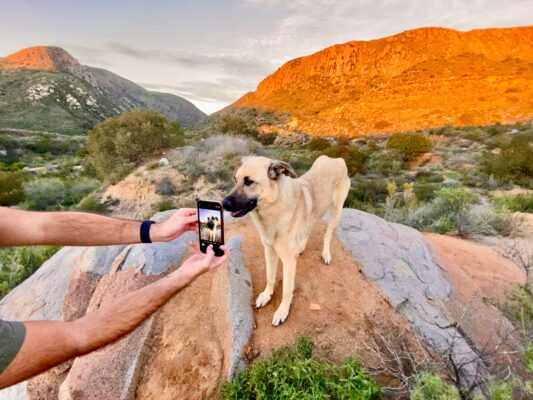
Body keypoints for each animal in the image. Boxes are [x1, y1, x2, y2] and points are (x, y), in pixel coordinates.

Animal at [220, 154, 350, 324]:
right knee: (309, 226)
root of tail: (336, 158)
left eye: (248, 181)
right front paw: (266, 295)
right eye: (235, 179)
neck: (275, 208)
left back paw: (326, 254)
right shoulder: (269, 250)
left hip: (336, 211)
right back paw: (301, 247)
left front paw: (282, 311)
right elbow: (270, 277)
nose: (223, 203)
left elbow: (287, 290)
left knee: (328, 233)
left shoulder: (288, 261)